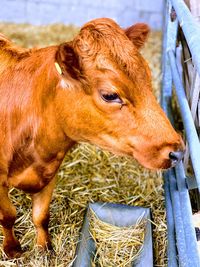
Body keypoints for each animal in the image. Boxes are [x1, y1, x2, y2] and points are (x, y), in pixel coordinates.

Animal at [0, 18, 184, 258]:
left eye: (148, 78)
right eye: (110, 95)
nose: (177, 151)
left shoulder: (50, 172)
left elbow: (41, 216)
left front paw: (45, 250)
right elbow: (8, 216)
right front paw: (13, 250)